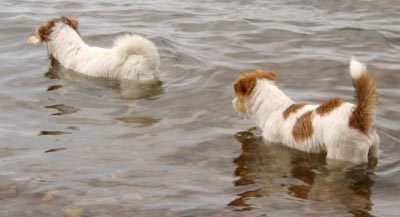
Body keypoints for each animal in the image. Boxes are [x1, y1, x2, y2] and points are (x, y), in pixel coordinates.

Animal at [233, 58, 380, 165]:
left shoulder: (272, 143)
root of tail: (356, 115)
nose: (233, 103)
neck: (273, 108)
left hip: (342, 154)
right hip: (373, 150)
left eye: (237, 94)